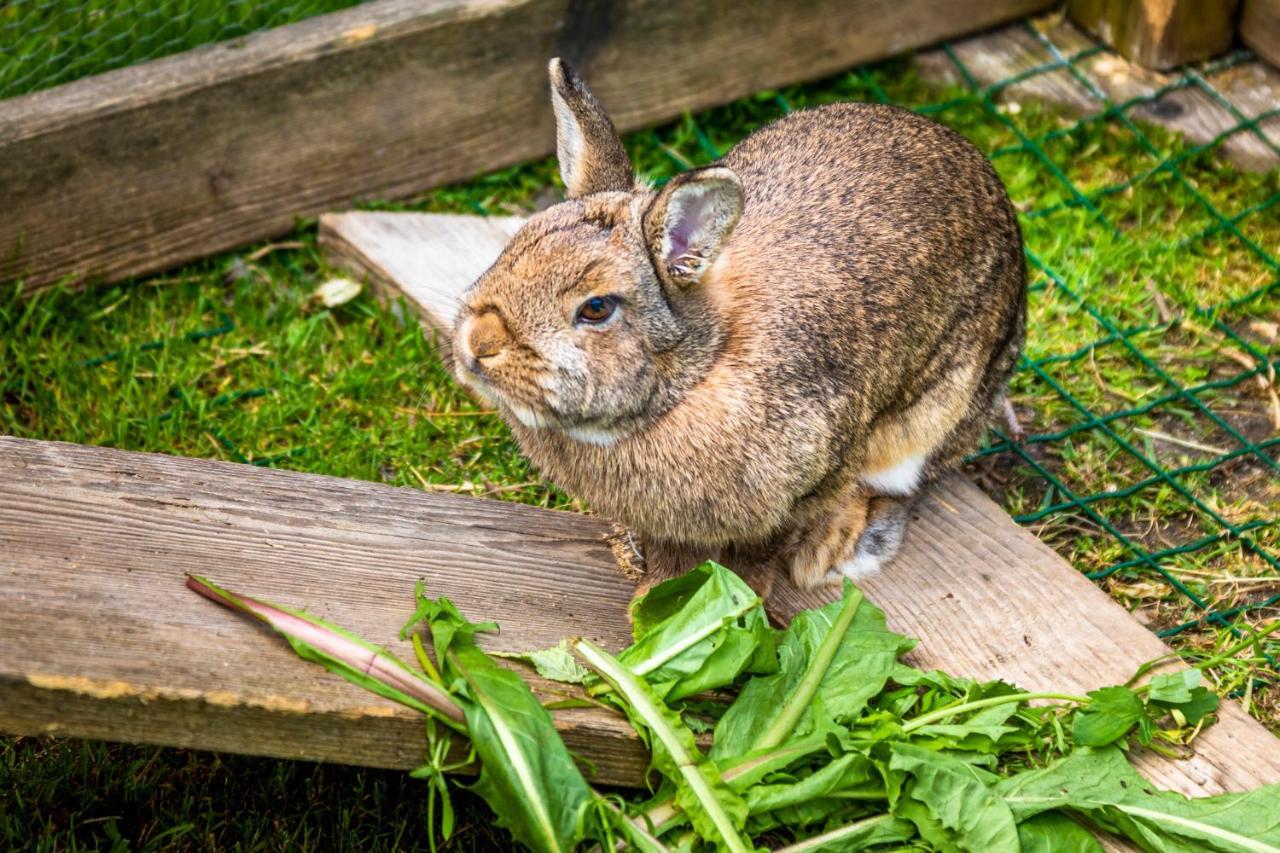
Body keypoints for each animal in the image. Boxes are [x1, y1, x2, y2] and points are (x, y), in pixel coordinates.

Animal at [455, 58, 1024, 596]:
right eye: (513, 248)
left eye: (596, 308)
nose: (480, 343)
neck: (695, 375)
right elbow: (671, 557)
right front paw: (655, 603)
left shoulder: (808, 482)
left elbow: (759, 553)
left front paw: (738, 604)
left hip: (936, 413)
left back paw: (834, 550)